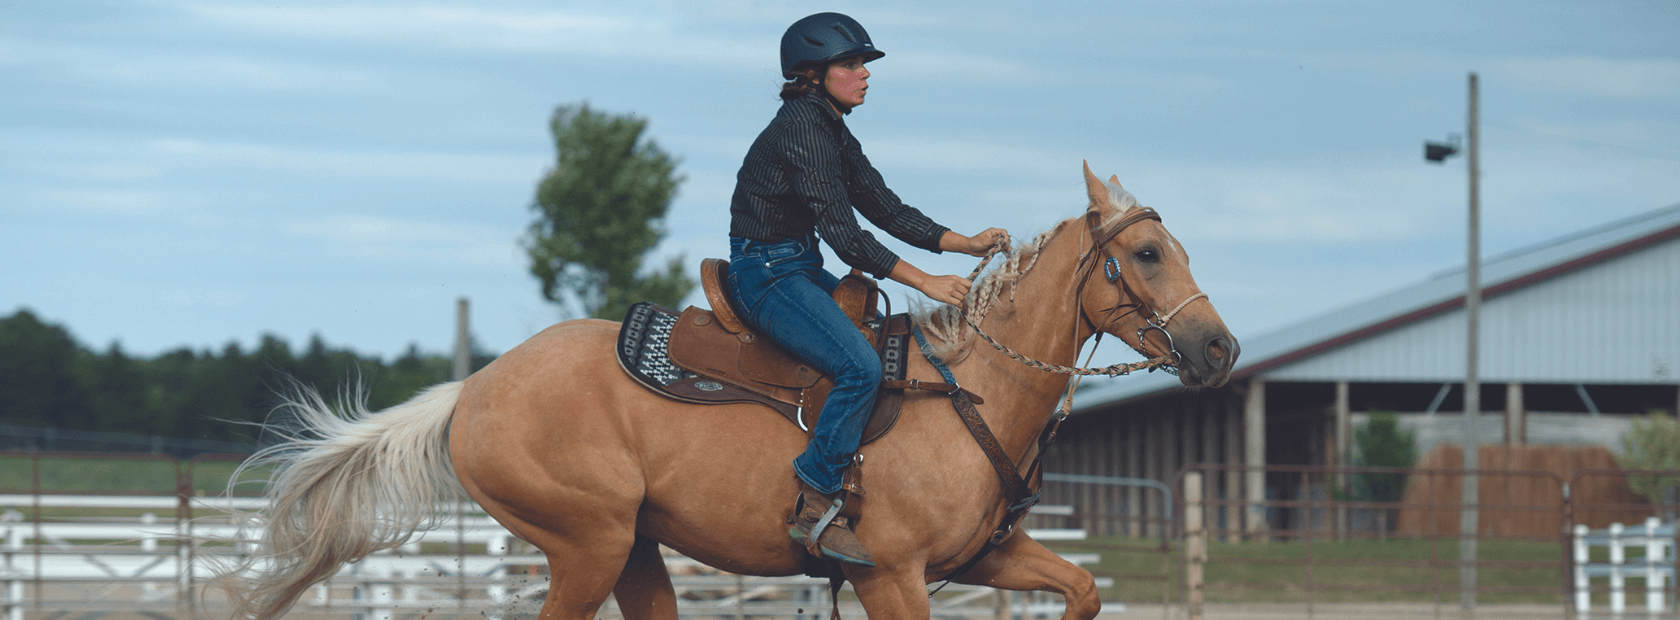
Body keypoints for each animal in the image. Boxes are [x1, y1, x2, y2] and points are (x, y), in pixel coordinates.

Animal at [223, 162, 1236, 618]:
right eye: (1149, 253)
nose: (1219, 347)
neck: (970, 395)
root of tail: (473, 391)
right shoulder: (893, 576)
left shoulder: (984, 559)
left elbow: (1082, 589)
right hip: (586, 544)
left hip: (632, 548)